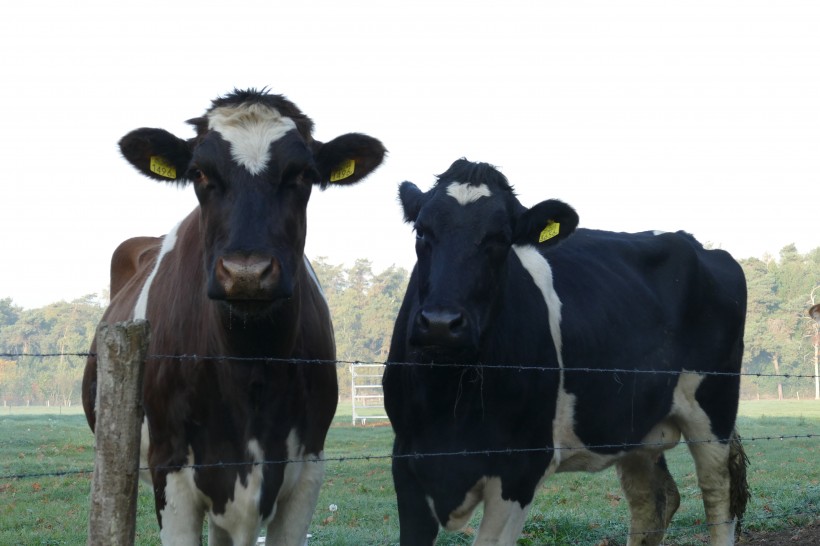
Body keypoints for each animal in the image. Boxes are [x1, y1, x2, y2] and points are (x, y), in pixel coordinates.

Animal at [81, 89, 386, 544]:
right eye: (199, 174)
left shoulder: (307, 468)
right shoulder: (170, 469)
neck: (248, 362)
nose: (247, 273)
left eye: (303, 174)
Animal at [384, 158, 748, 544]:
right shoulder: (407, 462)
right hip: (633, 423)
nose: (441, 323)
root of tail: (694, 242)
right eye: (421, 232)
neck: (449, 397)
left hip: (714, 408)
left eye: (501, 239)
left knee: (718, 496)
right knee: (653, 500)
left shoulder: (522, 467)